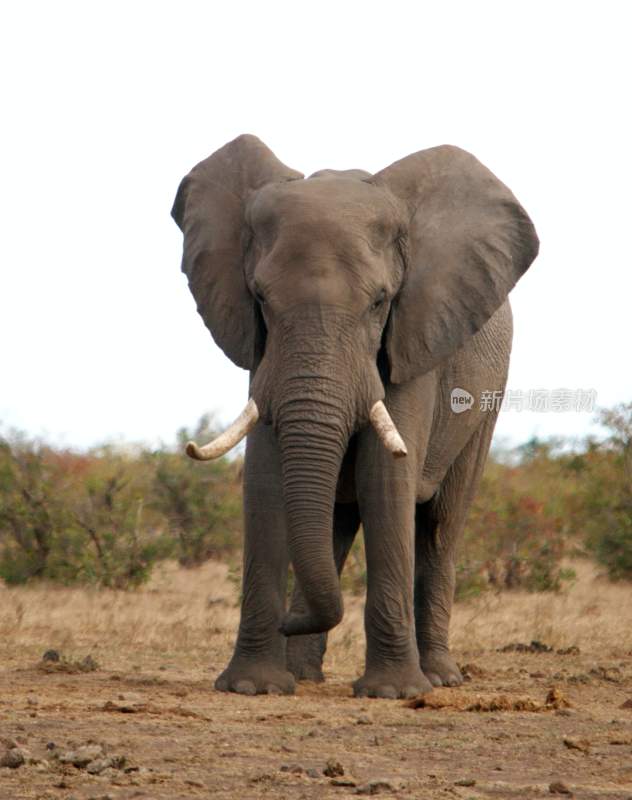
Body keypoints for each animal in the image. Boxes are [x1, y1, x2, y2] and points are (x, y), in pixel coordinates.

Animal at [173, 134, 540, 696]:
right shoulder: (260, 351)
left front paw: (394, 692)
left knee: (439, 526)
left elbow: (385, 478)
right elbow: (264, 479)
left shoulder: (415, 337)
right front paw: (253, 687)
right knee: (337, 523)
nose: (286, 621)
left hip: (487, 399)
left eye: (379, 302)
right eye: (260, 298)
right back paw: (305, 675)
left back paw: (439, 678)